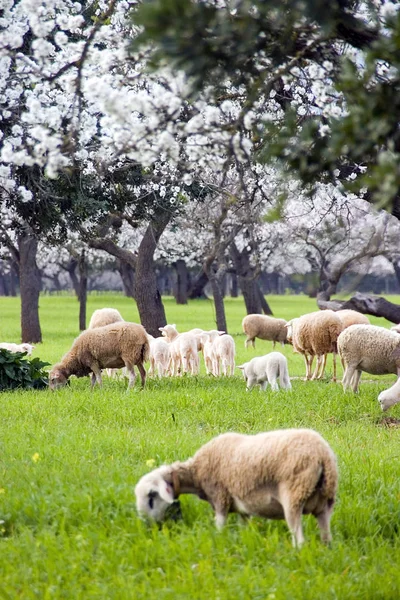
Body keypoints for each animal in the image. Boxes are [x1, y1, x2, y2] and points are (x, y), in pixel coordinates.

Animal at [134, 426, 338, 548]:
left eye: (151, 497)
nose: (150, 529)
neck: (196, 473)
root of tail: (323, 455)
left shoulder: (220, 497)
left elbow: (220, 526)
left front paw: (219, 540)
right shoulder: (243, 508)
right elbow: (243, 527)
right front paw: (243, 541)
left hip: (294, 494)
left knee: (300, 539)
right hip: (324, 504)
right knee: (326, 536)